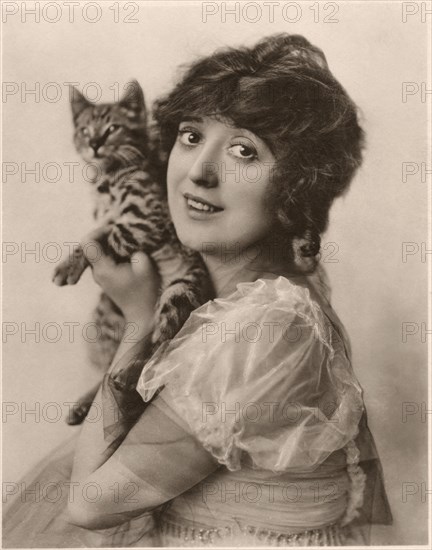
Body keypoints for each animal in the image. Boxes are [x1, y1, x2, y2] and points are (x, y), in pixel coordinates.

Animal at [54, 81, 213, 426]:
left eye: (112, 129)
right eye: (85, 130)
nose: (94, 144)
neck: (109, 177)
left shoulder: (147, 219)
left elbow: (107, 237)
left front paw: (68, 265)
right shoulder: (110, 217)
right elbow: (99, 232)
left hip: (180, 292)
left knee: (162, 346)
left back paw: (129, 378)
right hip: (105, 317)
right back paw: (87, 403)